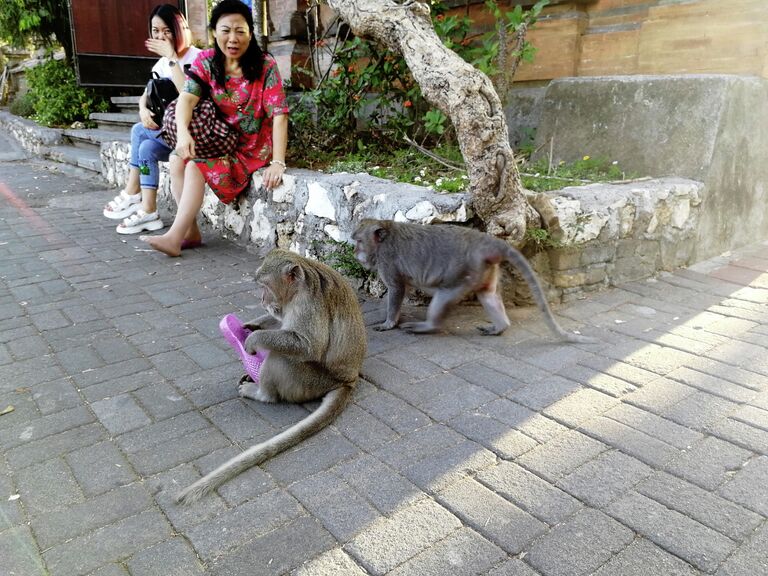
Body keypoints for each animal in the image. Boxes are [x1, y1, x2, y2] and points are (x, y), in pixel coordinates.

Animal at [176, 249, 368, 504]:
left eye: (265, 285)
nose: (262, 300)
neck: (300, 286)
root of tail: (348, 379)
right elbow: (278, 321)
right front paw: (250, 326)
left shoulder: (306, 306)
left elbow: (307, 346)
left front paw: (252, 340)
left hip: (311, 381)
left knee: (281, 357)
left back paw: (261, 393)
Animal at [352, 218, 596, 340]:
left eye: (358, 241)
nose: (354, 252)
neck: (386, 235)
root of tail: (485, 242)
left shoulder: (387, 262)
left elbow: (396, 289)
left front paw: (389, 322)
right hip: (485, 270)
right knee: (488, 295)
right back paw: (500, 327)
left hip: (461, 273)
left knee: (444, 294)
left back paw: (428, 326)